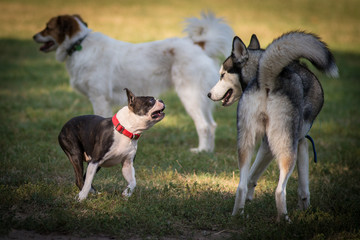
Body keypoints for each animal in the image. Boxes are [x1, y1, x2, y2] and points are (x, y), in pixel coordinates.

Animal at [33, 12, 233, 152]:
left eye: (47, 27)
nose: (34, 36)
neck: (79, 44)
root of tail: (197, 45)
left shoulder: (99, 98)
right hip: (200, 98)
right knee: (211, 124)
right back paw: (208, 151)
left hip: (189, 95)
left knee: (204, 125)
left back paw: (200, 150)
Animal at [207, 31, 338, 221]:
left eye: (222, 75)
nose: (208, 94)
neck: (257, 69)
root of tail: (265, 78)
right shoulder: (301, 142)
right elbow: (304, 186)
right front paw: (305, 209)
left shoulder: (266, 144)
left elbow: (251, 176)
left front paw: (249, 198)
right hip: (287, 149)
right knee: (279, 190)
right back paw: (284, 219)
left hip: (245, 143)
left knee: (241, 185)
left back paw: (238, 214)